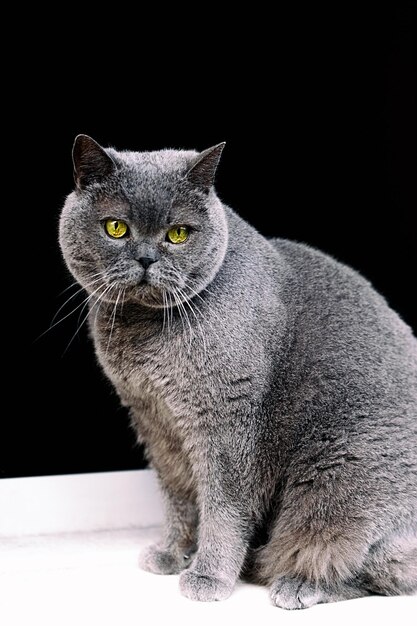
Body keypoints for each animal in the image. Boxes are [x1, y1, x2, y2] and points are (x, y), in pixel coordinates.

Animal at [58, 134, 416, 608]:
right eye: (115, 227)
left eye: (178, 233)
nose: (147, 258)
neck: (146, 335)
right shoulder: (155, 422)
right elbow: (179, 497)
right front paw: (172, 552)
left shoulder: (227, 423)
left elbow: (223, 507)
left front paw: (208, 576)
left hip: (341, 472)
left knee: (366, 562)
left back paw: (297, 584)